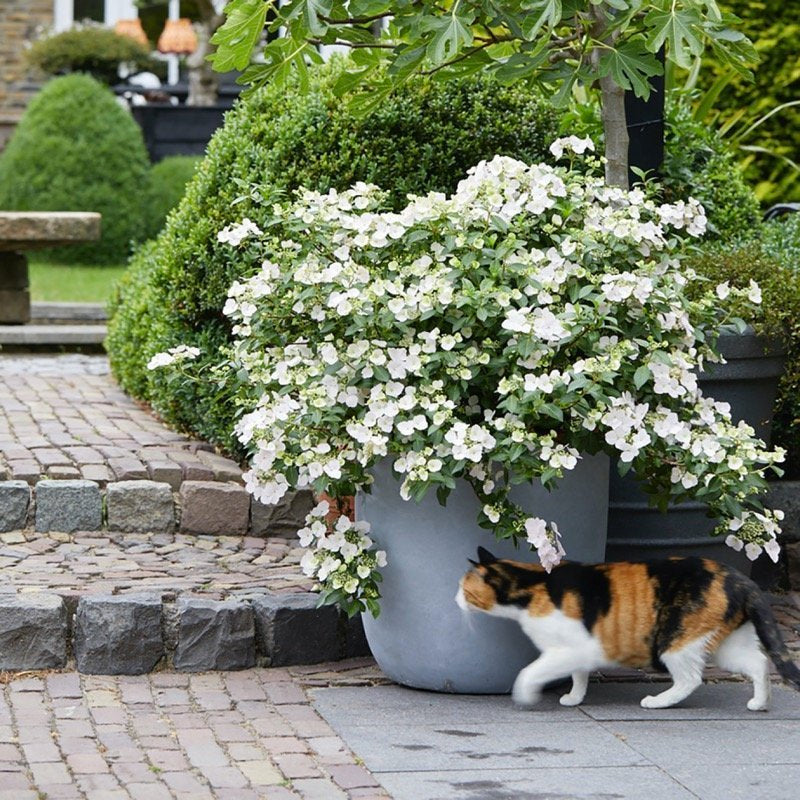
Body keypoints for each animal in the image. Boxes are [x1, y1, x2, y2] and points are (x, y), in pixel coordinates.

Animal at [456, 548, 800, 708]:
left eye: (464, 589)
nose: (454, 598)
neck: (534, 583)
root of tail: (740, 579)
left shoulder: (576, 647)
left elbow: (530, 671)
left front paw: (525, 694)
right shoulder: (577, 651)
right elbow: (579, 675)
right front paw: (574, 698)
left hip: (677, 641)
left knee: (690, 679)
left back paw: (657, 702)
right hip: (725, 645)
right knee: (758, 662)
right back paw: (759, 703)